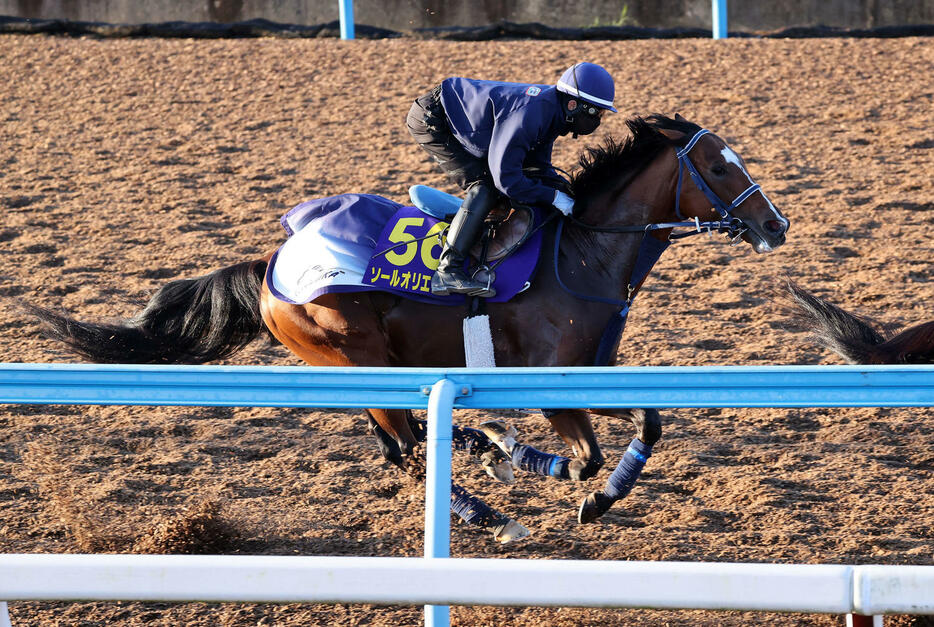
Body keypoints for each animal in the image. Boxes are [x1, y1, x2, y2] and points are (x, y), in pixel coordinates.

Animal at [25, 114, 788, 540]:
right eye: (718, 165)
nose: (776, 224)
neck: (582, 249)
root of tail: (272, 262)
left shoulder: (589, 375)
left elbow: (650, 423)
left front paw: (568, 479)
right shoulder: (550, 385)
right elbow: (586, 458)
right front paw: (572, 485)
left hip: (366, 370)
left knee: (406, 443)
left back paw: (484, 451)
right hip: (352, 355)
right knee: (410, 450)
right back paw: (496, 511)